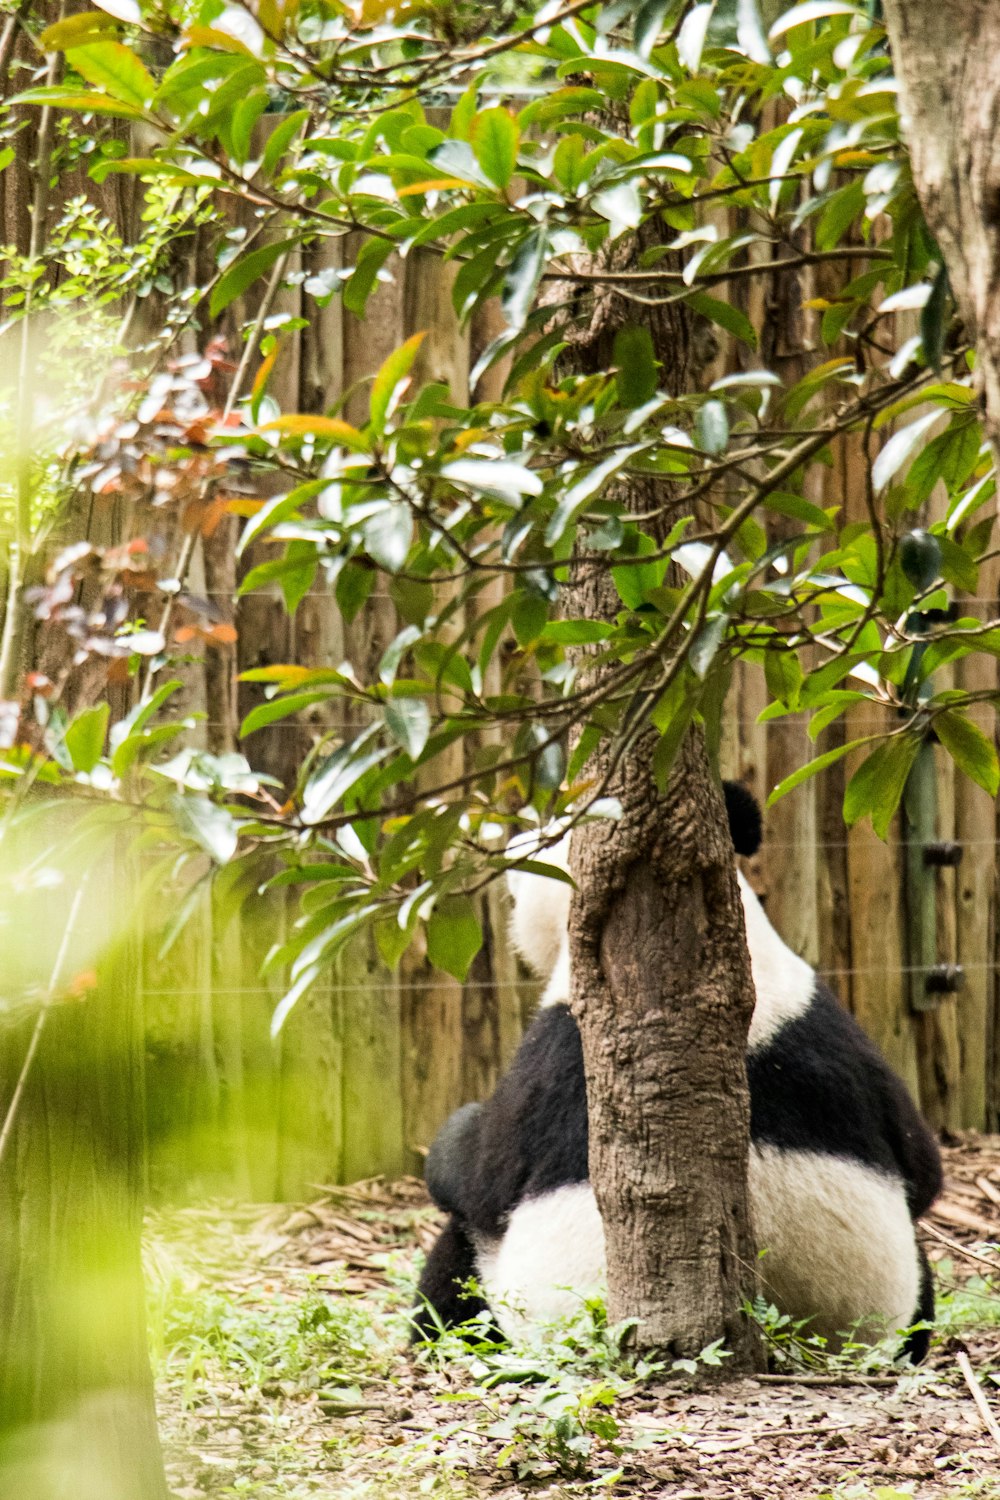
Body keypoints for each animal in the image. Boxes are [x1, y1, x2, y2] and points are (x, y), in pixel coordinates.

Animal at [410, 786, 941, 1362]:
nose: (515, 852)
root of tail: (790, 1339)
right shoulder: (840, 1037)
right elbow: (924, 1168)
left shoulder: (558, 1059)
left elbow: (477, 1178)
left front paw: (453, 1137)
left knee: (459, 1262)